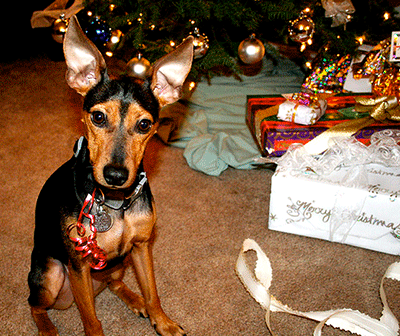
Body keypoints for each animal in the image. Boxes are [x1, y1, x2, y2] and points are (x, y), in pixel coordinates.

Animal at [27, 16, 193, 336]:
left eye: (144, 125)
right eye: (98, 117)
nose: (115, 174)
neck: (115, 202)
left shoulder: (141, 246)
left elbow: (153, 291)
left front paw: (162, 321)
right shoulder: (79, 263)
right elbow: (91, 320)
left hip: (118, 263)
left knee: (115, 284)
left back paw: (135, 300)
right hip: (52, 274)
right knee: (35, 305)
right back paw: (47, 329)